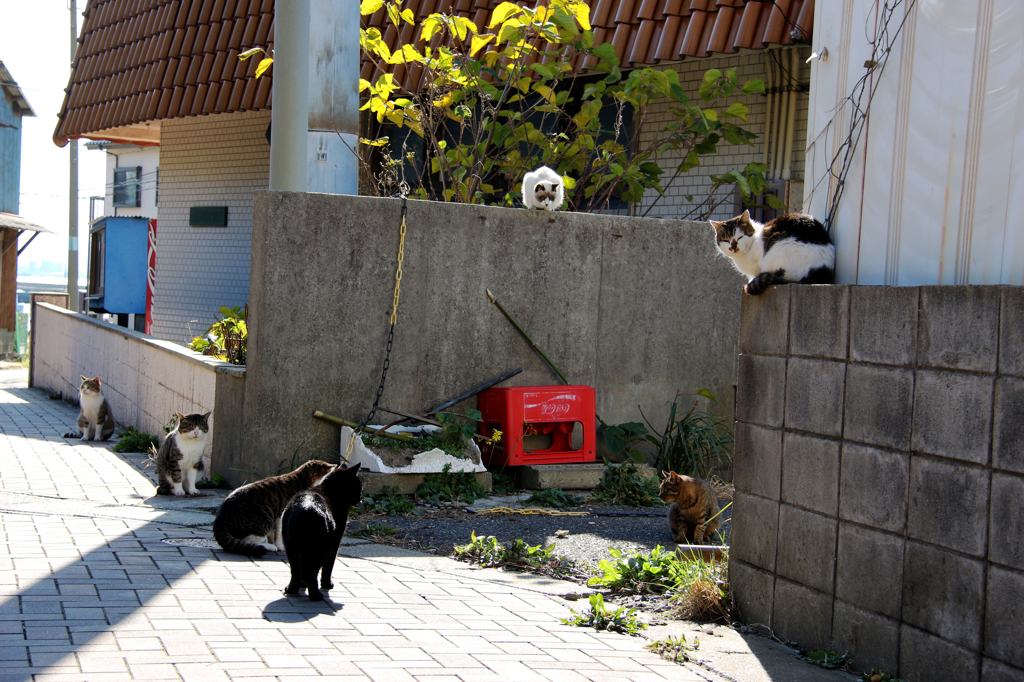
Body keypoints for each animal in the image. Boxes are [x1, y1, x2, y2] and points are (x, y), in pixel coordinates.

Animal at [282, 462, 362, 602]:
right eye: (359, 486)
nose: (361, 497)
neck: (330, 488)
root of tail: (306, 509)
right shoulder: (336, 541)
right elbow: (329, 566)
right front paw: (327, 584)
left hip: (291, 546)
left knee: (296, 569)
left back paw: (292, 589)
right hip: (322, 546)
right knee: (312, 569)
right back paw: (316, 595)